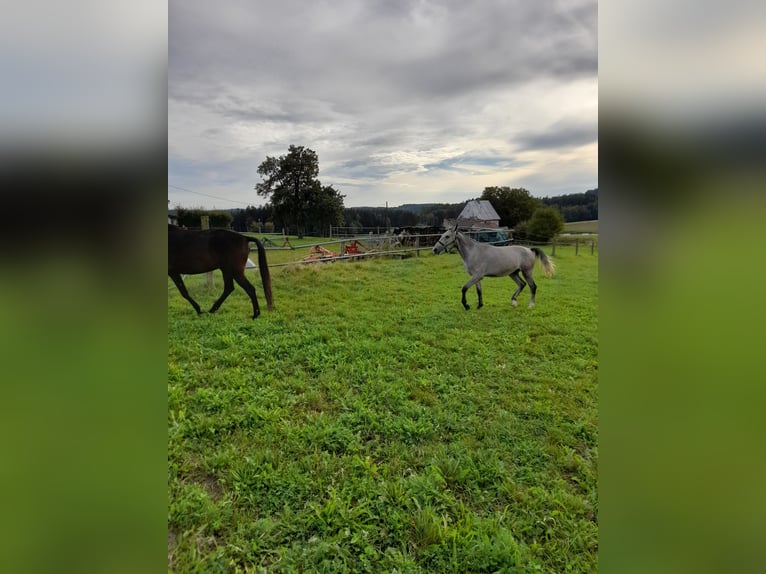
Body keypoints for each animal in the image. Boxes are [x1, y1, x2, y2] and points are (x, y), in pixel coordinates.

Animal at [432, 228, 560, 310]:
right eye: (442, 235)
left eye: (447, 236)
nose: (435, 249)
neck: (474, 252)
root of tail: (529, 250)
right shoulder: (477, 277)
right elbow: (479, 291)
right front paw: (479, 306)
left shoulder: (476, 276)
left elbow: (464, 288)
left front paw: (466, 305)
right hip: (513, 273)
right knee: (522, 284)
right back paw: (513, 301)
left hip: (527, 272)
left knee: (532, 286)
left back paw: (531, 305)